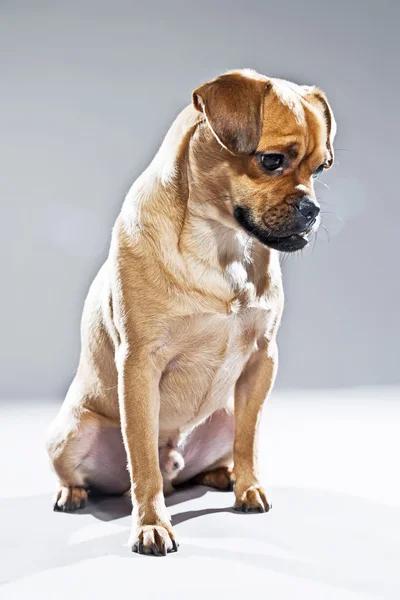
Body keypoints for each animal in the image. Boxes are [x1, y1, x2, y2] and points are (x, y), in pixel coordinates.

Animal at [46, 70, 334, 556]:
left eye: (321, 169)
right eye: (271, 161)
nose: (312, 209)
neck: (221, 245)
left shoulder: (262, 360)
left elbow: (249, 441)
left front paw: (248, 486)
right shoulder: (139, 366)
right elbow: (143, 459)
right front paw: (151, 524)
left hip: (226, 412)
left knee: (224, 446)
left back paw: (221, 474)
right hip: (70, 434)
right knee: (113, 472)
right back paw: (73, 492)